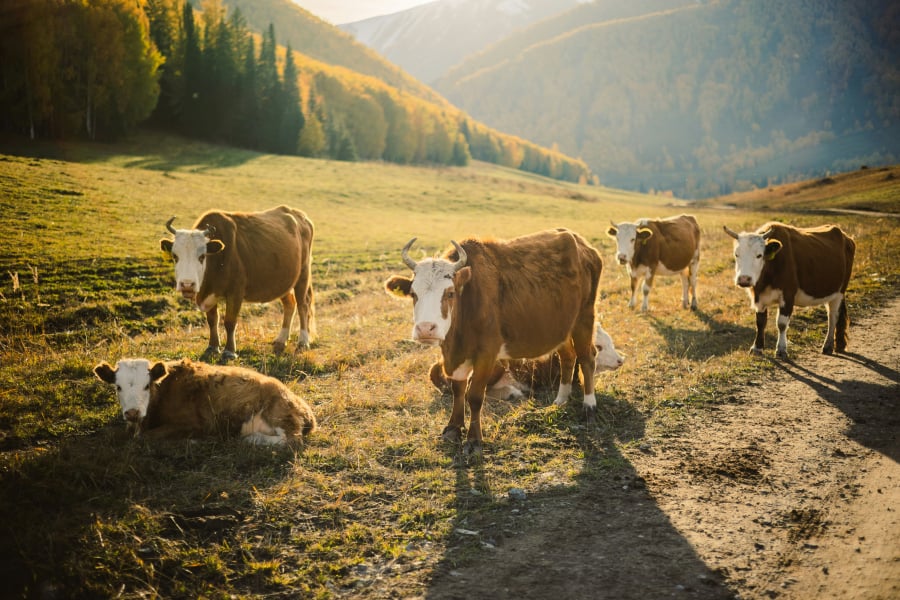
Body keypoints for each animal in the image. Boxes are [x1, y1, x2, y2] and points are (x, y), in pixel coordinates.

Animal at [94, 356, 316, 446]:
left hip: (278, 414)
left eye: (146, 386)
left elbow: (143, 437)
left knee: (292, 440)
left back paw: (251, 439)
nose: (132, 412)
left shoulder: (195, 424)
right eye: (118, 387)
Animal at [160, 205, 314, 360]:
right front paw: (212, 347)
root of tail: (300, 215)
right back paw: (281, 339)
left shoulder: (236, 292)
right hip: (283, 282)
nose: (187, 285)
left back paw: (303, 342)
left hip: (303, 274)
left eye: (202, 256)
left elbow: (230, 321)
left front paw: (229, 351)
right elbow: (212, 320)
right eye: (175, 256)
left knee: (303, 305)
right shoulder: (210, 293)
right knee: (290, 304)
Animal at [384, 230, 600, 454]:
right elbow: (457, 390)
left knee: (587, 358)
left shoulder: (487, 354)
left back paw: (589, 408)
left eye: (450, 293)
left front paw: (474, 439)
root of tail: (581, 243)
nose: (426, 329)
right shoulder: (456, 356)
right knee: (568, 357)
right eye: (413, 294)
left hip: (584, 316)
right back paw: (561, 400)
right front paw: (453, 428)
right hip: (561, 327)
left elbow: (474, 395)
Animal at [724, 223, 856, 358]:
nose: (744, 279)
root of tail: (846, 237)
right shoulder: (759, 297)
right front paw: (757, 348)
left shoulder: (787, 295)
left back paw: (828, 345)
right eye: (736, 254)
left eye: (759, 255)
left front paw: (781, 349)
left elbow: (781, 323)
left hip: (839, 292)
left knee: (833, 316)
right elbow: (760, 322)